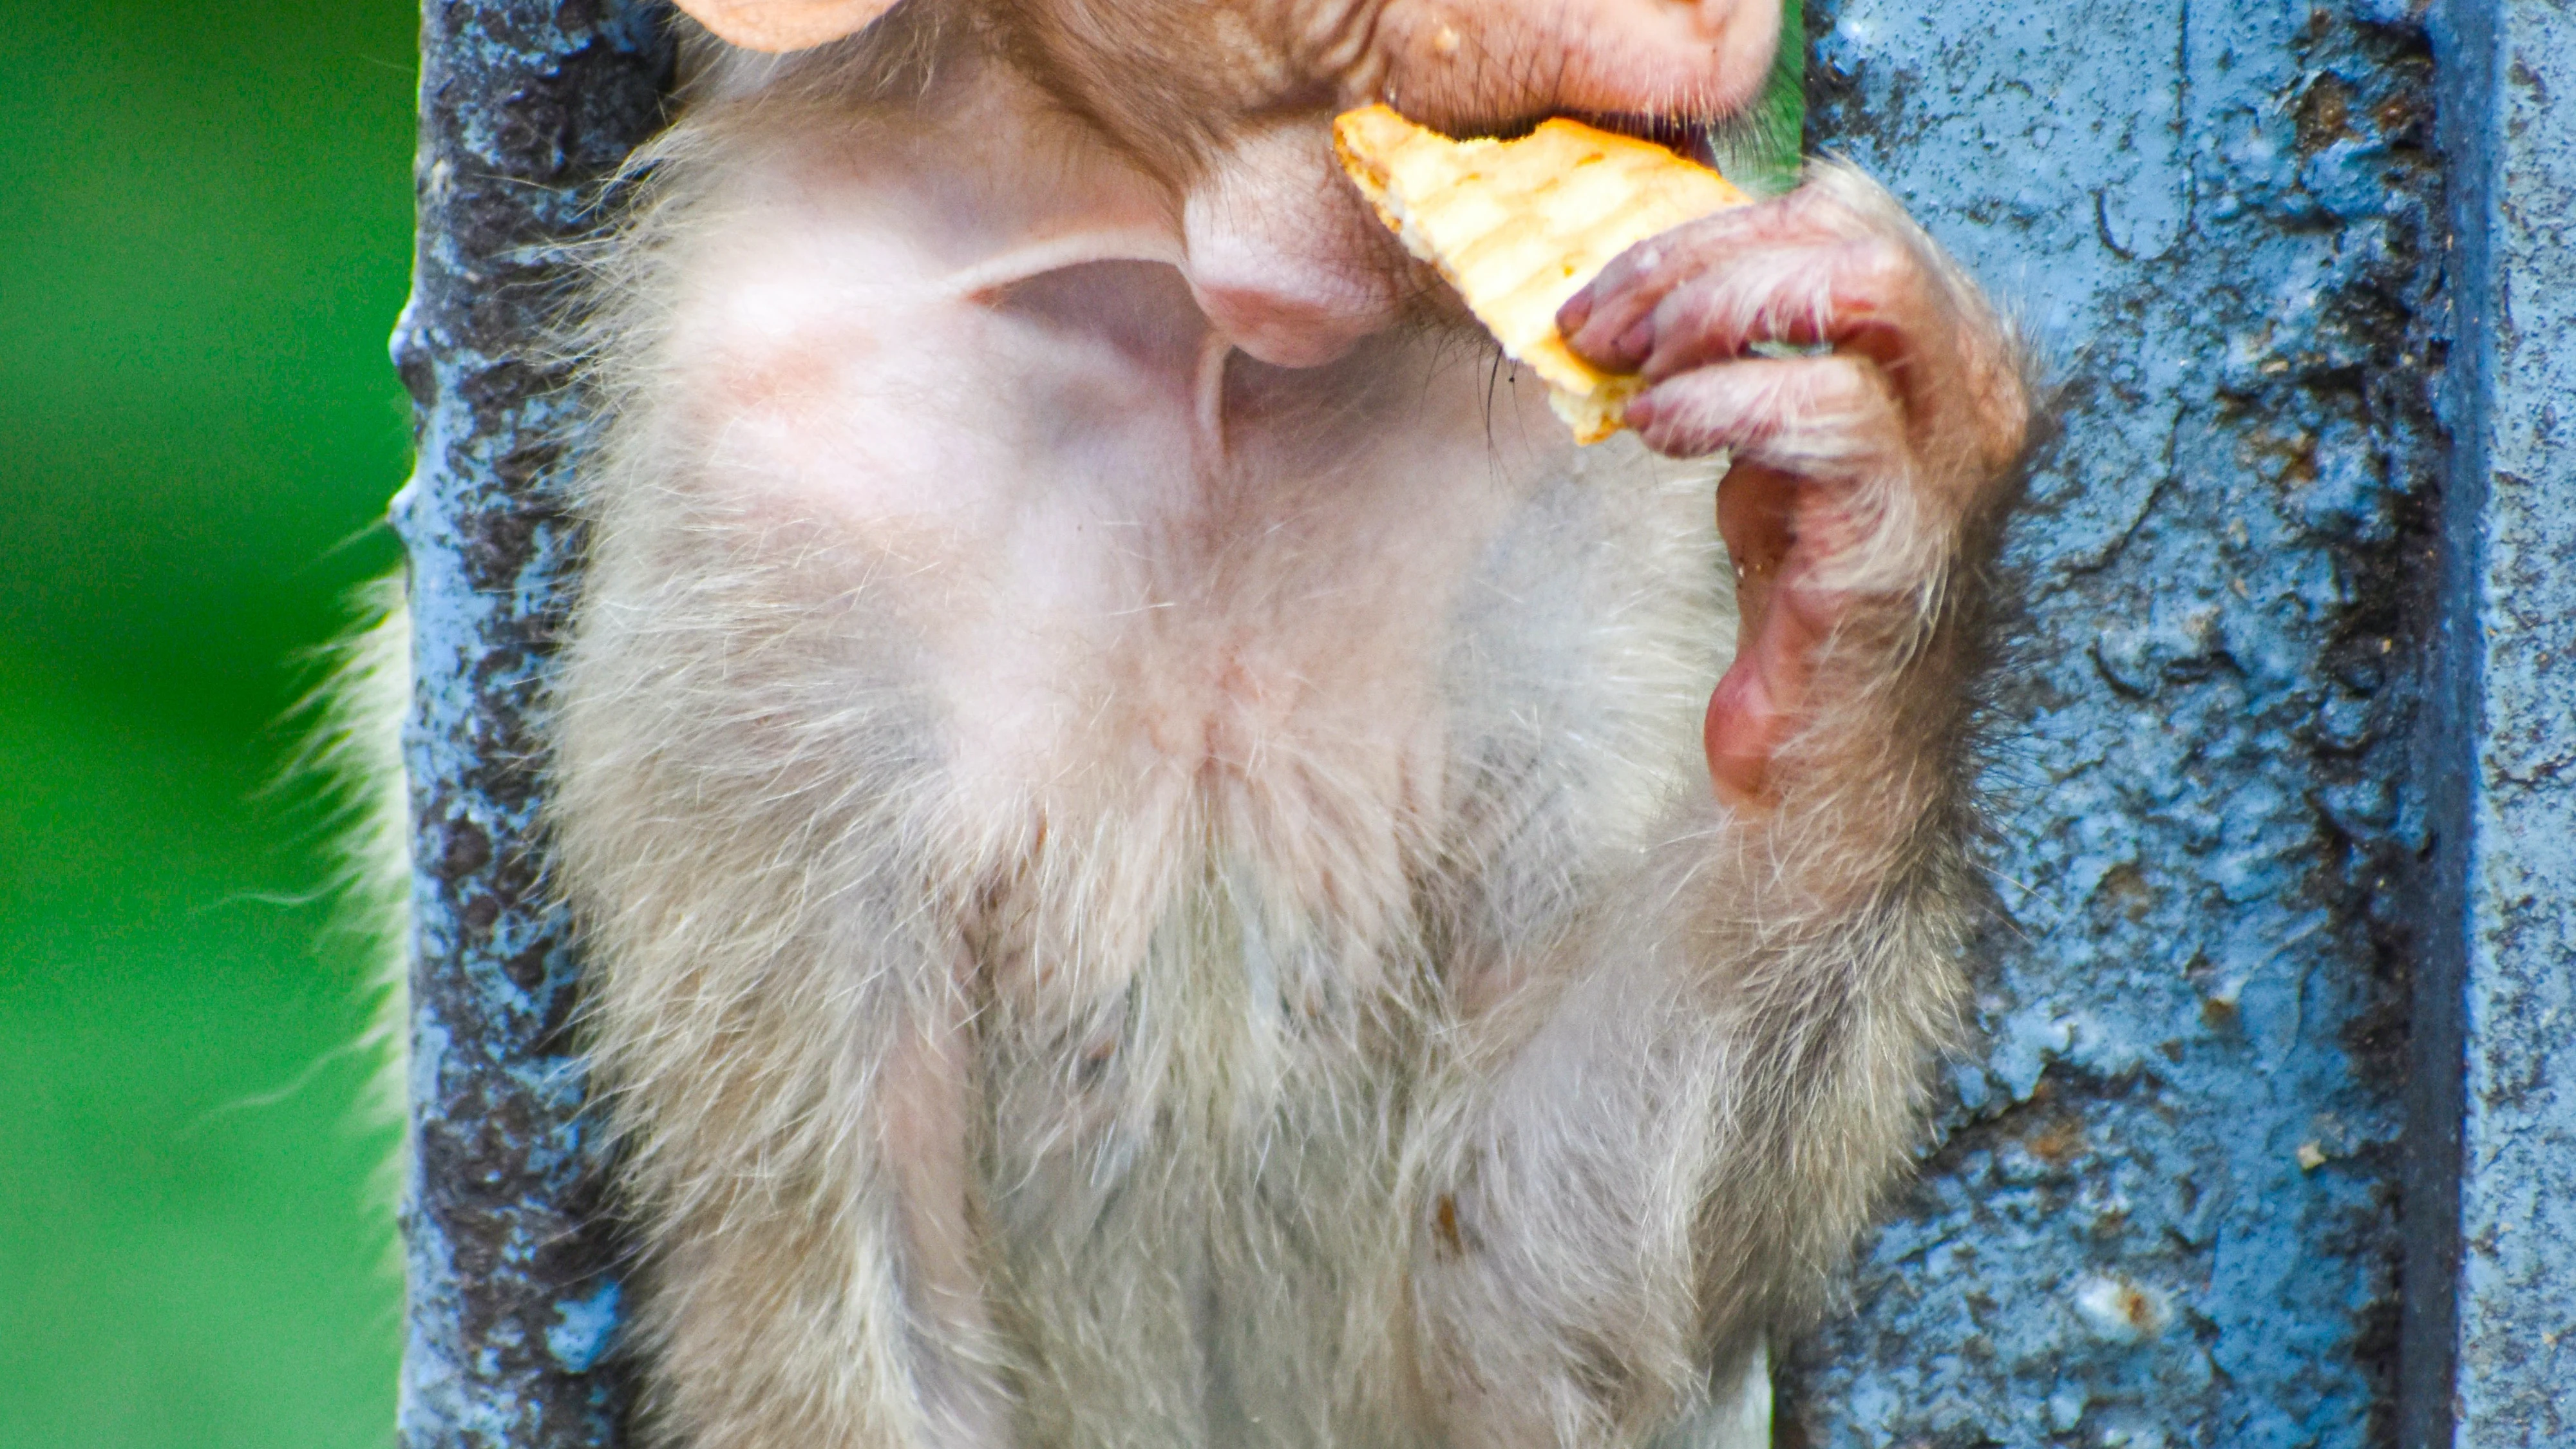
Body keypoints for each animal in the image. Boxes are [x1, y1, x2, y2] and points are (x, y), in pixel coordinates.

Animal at [532, 0, 2032, 1445]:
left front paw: (1881, 525)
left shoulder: (1588, 479)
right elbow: (839, 1328)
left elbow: (1520, 1312)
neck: (1193, 335)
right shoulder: (769, 491)